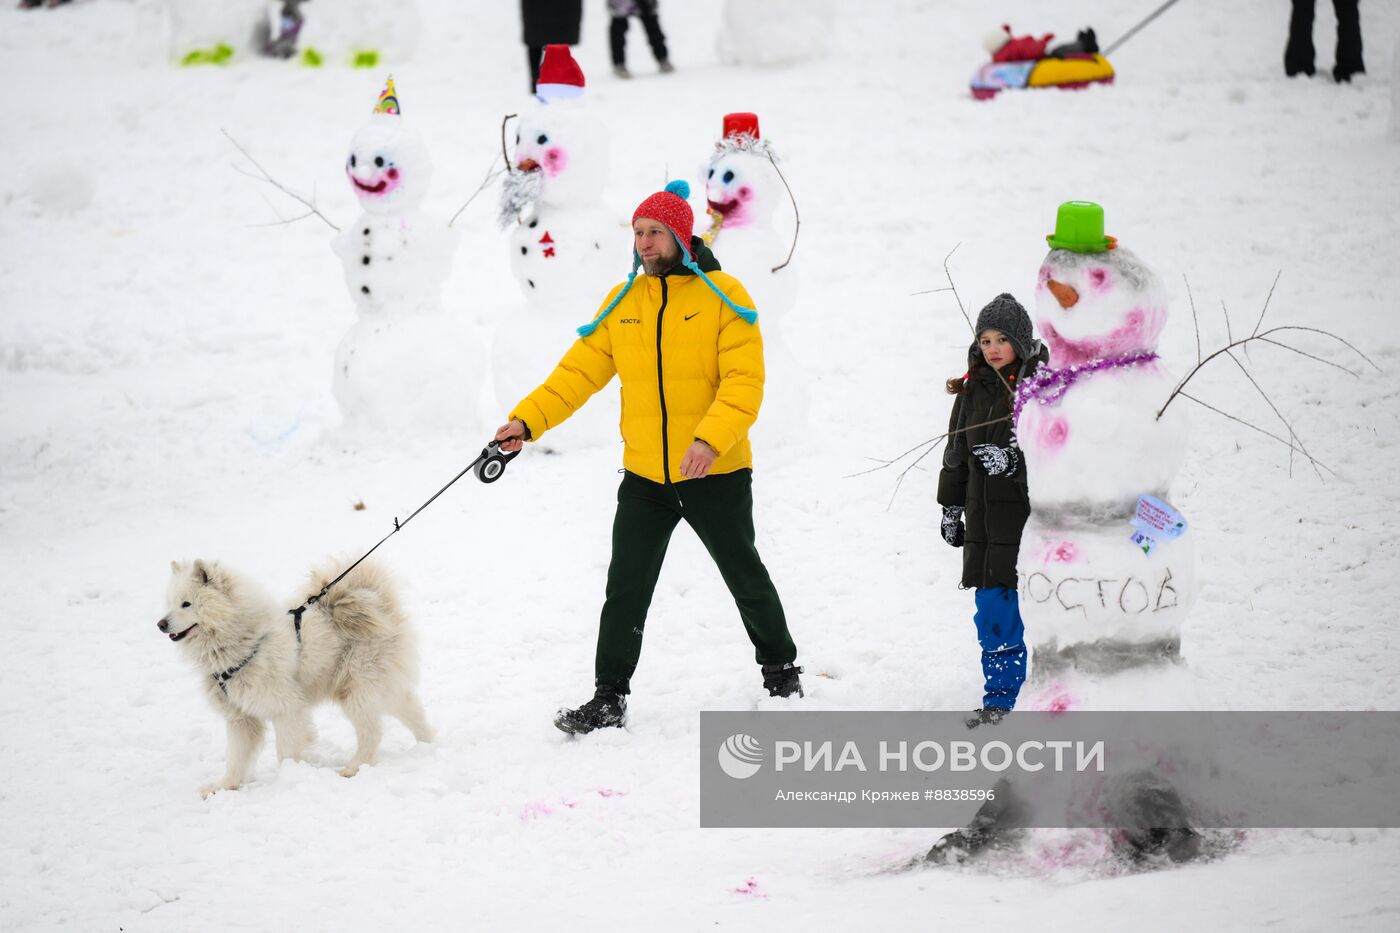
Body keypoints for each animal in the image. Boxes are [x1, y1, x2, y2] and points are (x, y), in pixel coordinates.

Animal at [158, 554, 431, 795]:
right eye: (170, 603)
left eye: (186, 603)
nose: (160, 624)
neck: (245, 640)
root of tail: (381, 603)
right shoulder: (240, 718)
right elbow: (235, 758)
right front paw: (222, 787)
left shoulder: (285, 708)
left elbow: (286, 751)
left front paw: (287, 779)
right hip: (376, 686)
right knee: (410, 708)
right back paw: (428, 743)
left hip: (356, 689)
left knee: (372, 733)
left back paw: (352, 769)